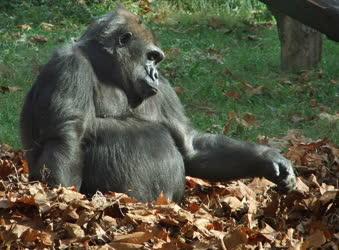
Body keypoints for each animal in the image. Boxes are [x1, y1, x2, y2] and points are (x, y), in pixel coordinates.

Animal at [21, 6, 298, 202]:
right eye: (151, 56)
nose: (155, 73)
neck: (105, 68)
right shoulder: (69, 65)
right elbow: (68, 137)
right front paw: (64, 202)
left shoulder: (163, 89)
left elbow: (190, 144)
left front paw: (267, 158)